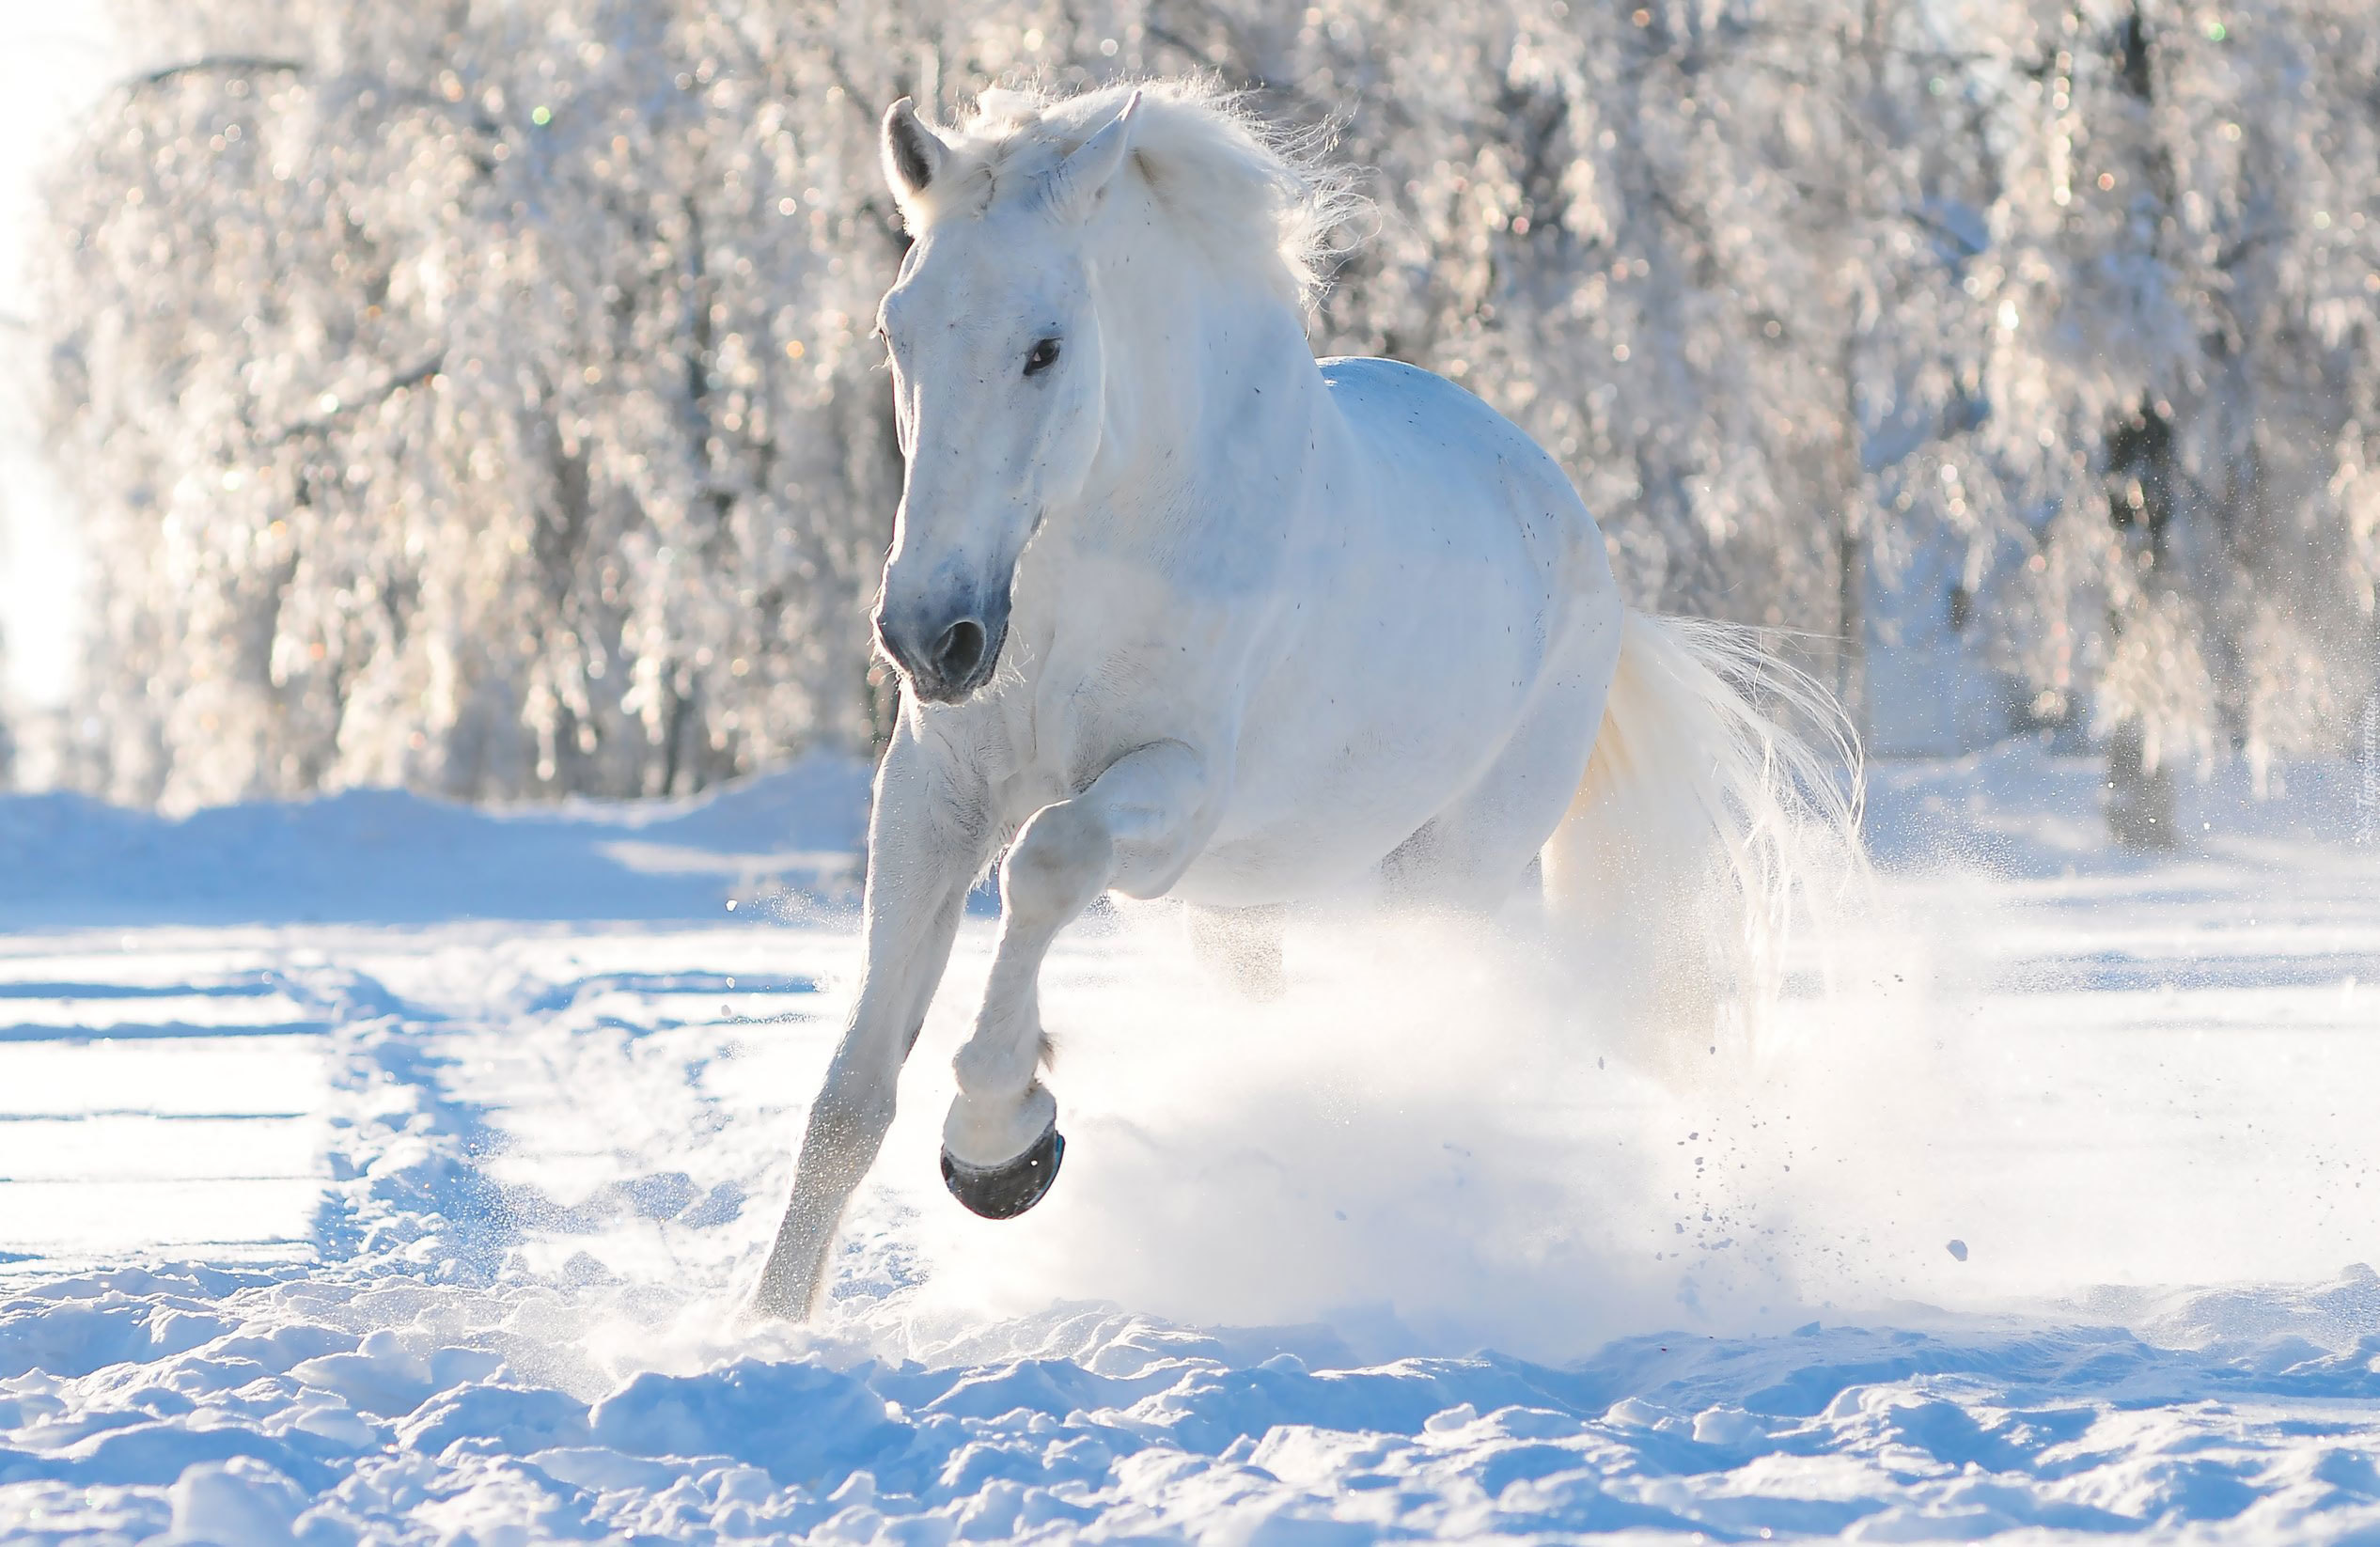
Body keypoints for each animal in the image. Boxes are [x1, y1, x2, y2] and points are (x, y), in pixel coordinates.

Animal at [752, 81, 1846, 1313]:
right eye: (897, 328)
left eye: (1045, 346)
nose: (930, 634)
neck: (1097, 552)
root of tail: (1583, 544)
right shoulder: (936, 796)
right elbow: (851, 1098)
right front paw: (767, 1323)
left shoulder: (1177, 793)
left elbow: (1046, 862)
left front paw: (1001, 1142)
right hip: (1246, 913)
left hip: (1439, 880)